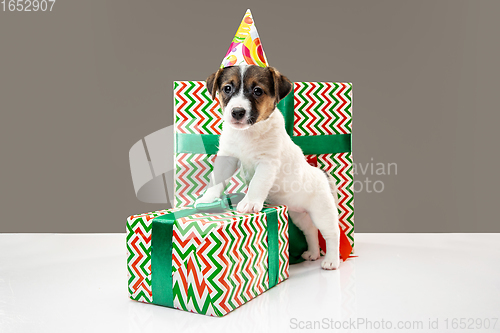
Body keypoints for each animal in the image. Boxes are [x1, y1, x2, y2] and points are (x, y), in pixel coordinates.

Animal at [197, 63, 342, 268]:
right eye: (227, 88)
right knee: (310, 231)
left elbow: (257, 184)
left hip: (322, 211)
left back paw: (331, 261)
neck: (247, 133)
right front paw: (208, 198)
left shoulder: (267, 163)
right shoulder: (227, 157)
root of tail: (323, 175)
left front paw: (249, 203)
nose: (237, 112)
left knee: (331, 234)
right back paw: (313, 253)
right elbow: (216, 180)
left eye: (257, 91)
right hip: (299, 215)